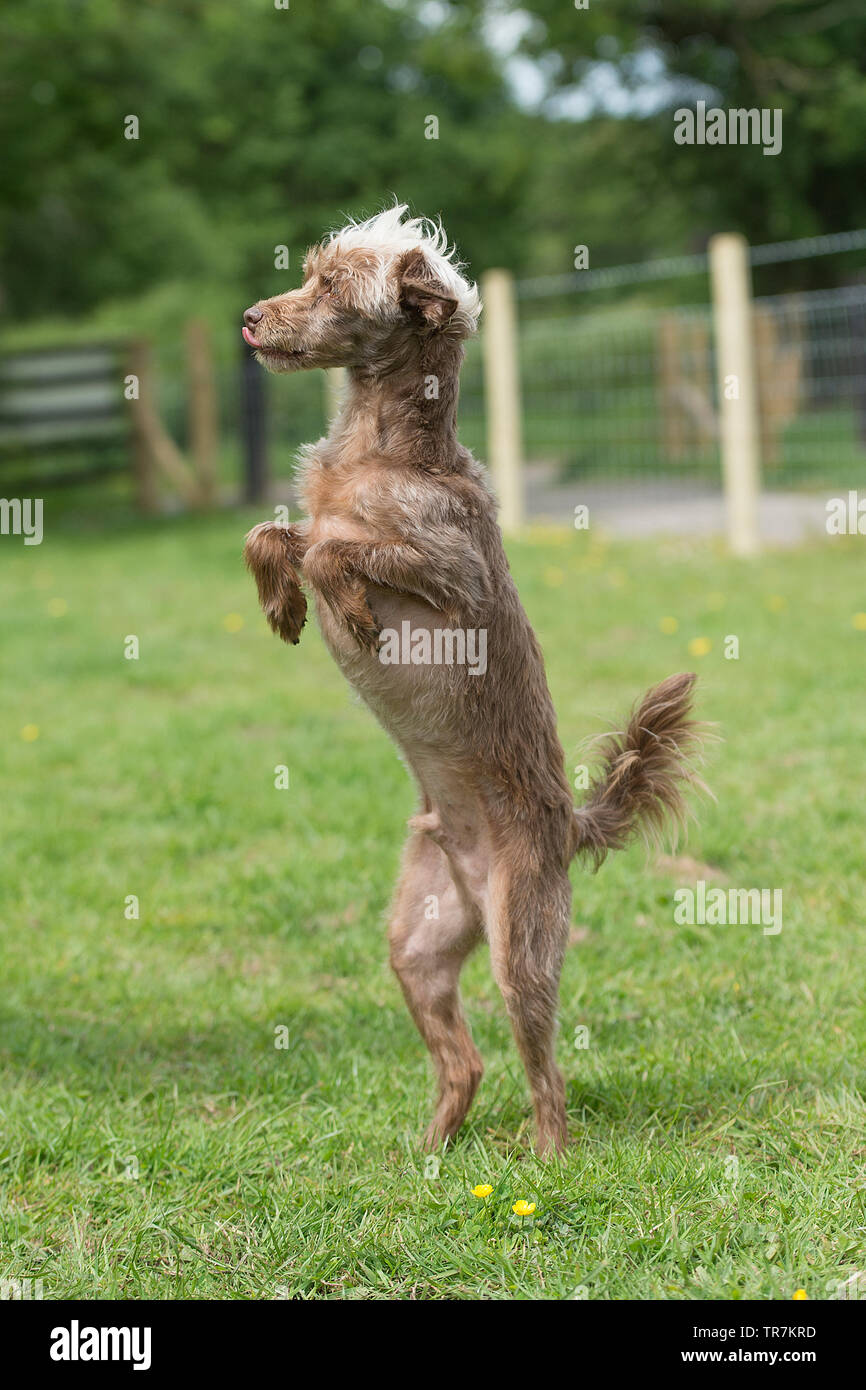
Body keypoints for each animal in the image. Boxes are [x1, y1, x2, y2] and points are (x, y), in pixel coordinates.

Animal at [241, 205, 706, 1156]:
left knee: (546, 1077)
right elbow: (275, 533)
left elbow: (339, 548)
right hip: (416, 946)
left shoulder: (454, 573)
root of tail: (570, 825)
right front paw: (283, 602)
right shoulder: (322, 518)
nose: (250, 318)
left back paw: (546, 1165)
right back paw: (426, 1155)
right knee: (467, 1064)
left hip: (518, 947)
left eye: (332, 286)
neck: (381, 446)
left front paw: (345, 603)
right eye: (308, 273)